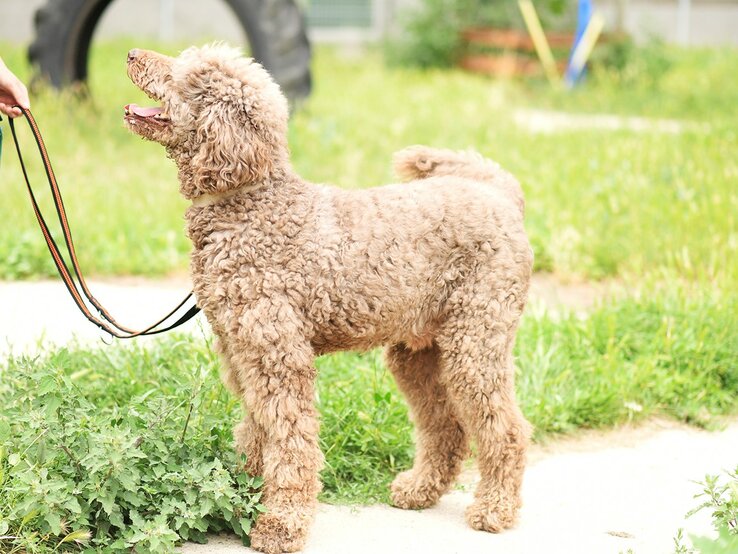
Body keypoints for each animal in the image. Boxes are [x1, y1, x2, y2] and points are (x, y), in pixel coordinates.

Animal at [123, 44, 532, 552]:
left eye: (189, 75)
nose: (131, 54)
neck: (253, 206)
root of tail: (501, 195)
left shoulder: (278, 358)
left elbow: (291, 442)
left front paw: (281, 523)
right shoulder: (244, 355)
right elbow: (257, 434)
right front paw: (243, 496)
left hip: (475, 342)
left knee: (507, 429)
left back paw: (495, 508)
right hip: (418, 353)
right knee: (446, 426)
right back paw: (419, 490)